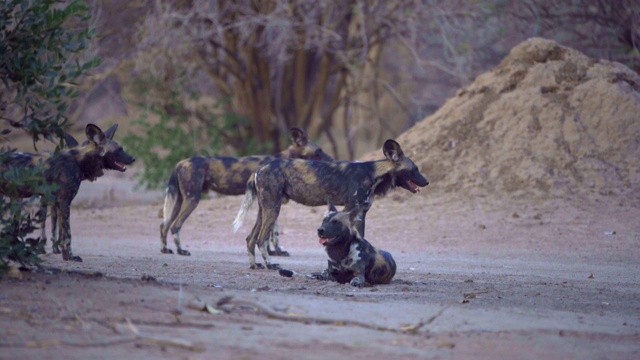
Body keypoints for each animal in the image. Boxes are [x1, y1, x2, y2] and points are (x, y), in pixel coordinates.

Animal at [0, 124, 134, 262]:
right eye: (119, 150)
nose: (133, 159)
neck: (80, 161)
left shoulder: (57, 203)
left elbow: (60, 233)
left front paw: (64, 255)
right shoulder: (64, 202)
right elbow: (68, 235)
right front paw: (70, 256)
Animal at [160, 126, 332, 256]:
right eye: (319, 151)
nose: (332, 160)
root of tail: (180, 163)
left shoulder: (271, 204)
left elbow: (271, 232)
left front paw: (271, 252)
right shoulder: (272, 203)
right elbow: (271, 233)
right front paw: (273, 252)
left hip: (179, 201)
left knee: (165, 224)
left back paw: (165, 249)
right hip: (192, 200)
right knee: (175, 226)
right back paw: (181, 251)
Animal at [232, 139, 428, 268]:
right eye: (415, 169)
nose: (427, 182)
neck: (374, 174)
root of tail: (259, 168)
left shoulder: (360, 213)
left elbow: (361, 239)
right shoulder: (351, 209)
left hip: (264, 209)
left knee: (250, 238)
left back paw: (255, 265)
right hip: (273, 209)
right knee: (261, 239)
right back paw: (271, 265)